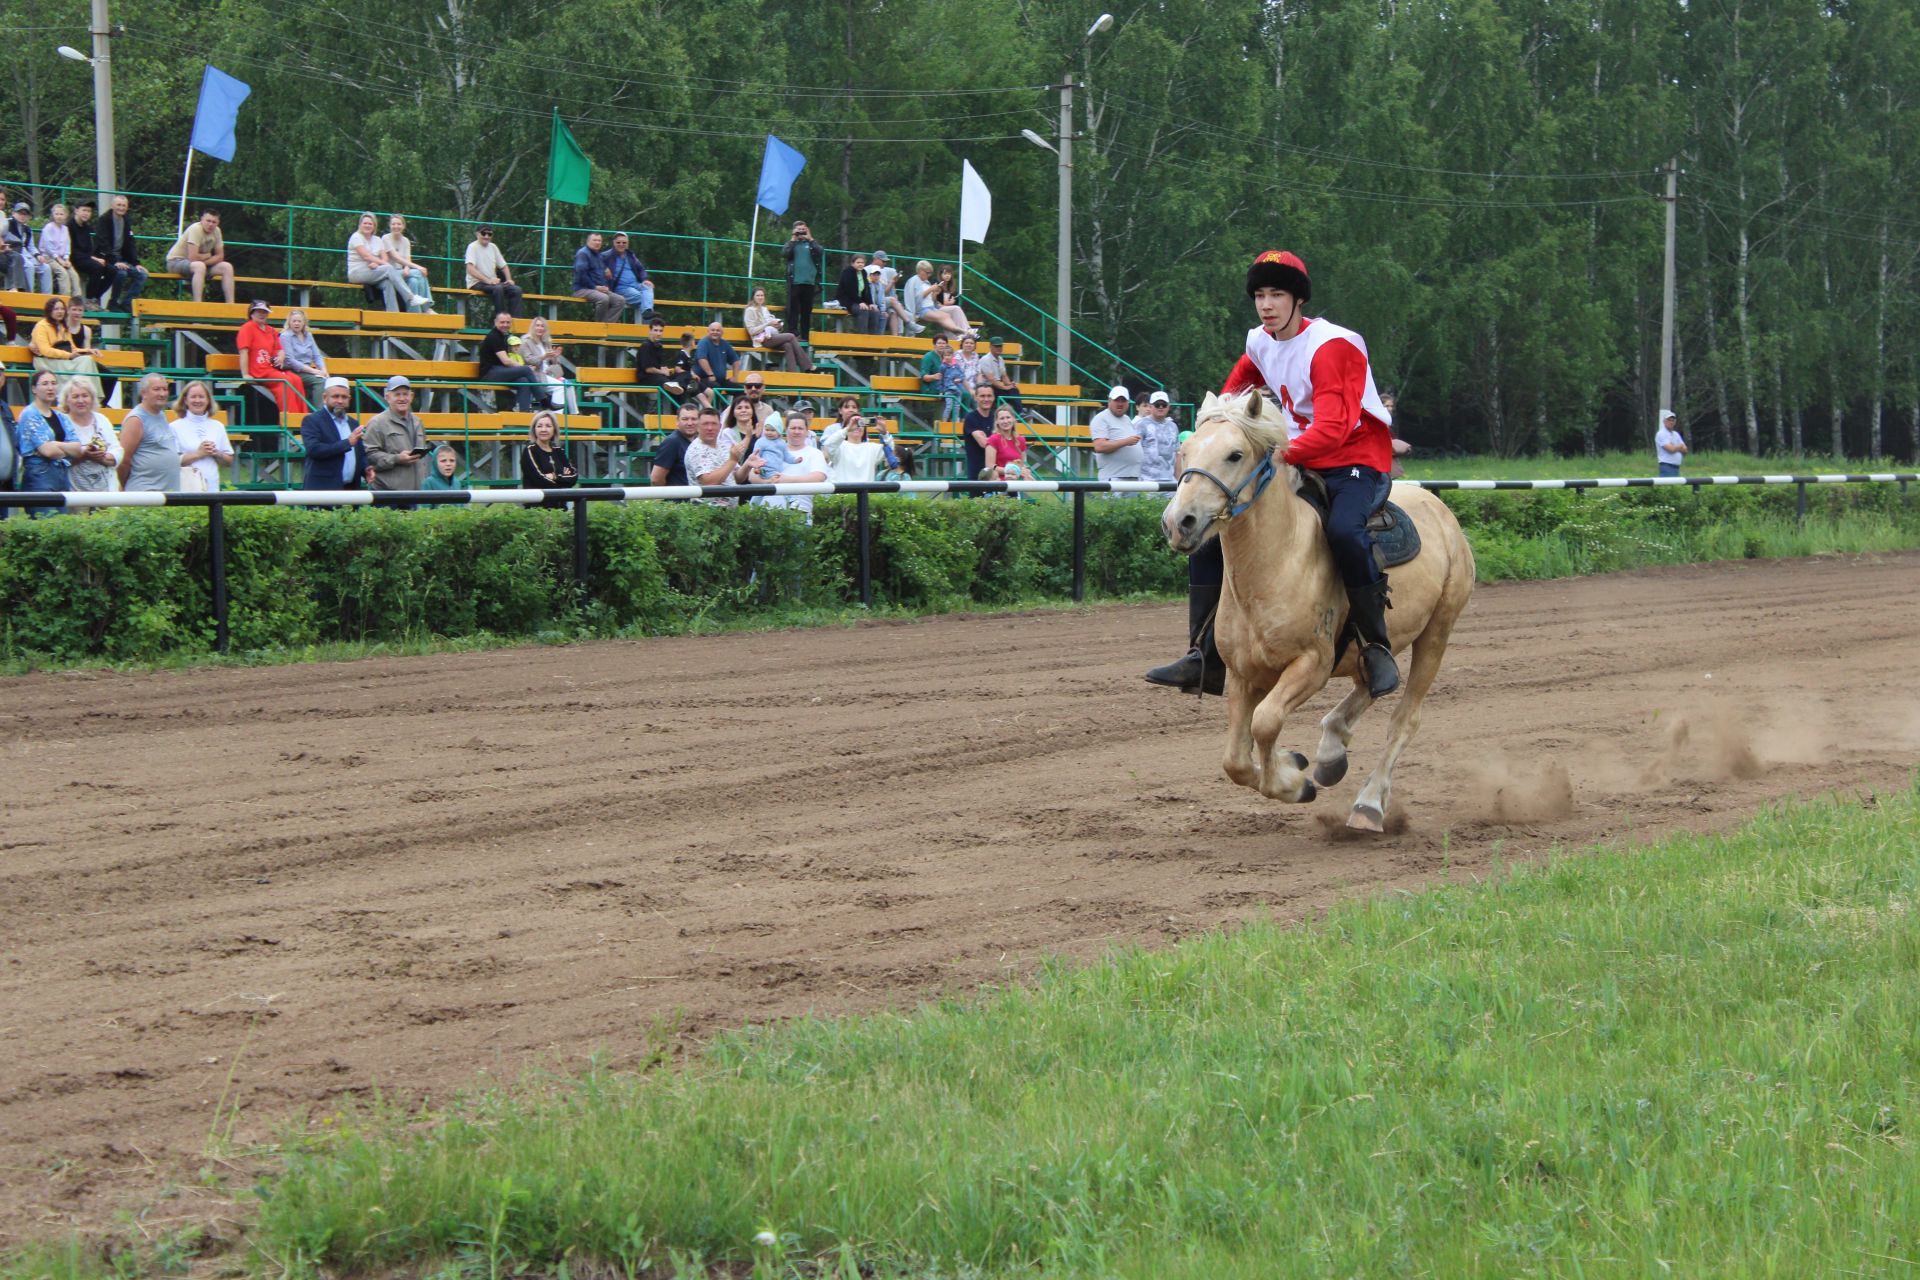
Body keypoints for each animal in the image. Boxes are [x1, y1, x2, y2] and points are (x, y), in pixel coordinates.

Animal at [1159, 391, 1474, 832]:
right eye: (1184, 452)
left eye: (1235, 454)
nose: (1179, 522)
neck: (1277, 560)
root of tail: (1440, 510)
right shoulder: (1242, 674)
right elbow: (1236, 761)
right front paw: (1294, 767)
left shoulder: (1311, 665)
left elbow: (1266, 721)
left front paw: (1292, 783)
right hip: (1368, 649)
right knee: (1370, 682)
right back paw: (1331, 751)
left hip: (1437, 632)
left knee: (1404, 718)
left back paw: (1369, 804)